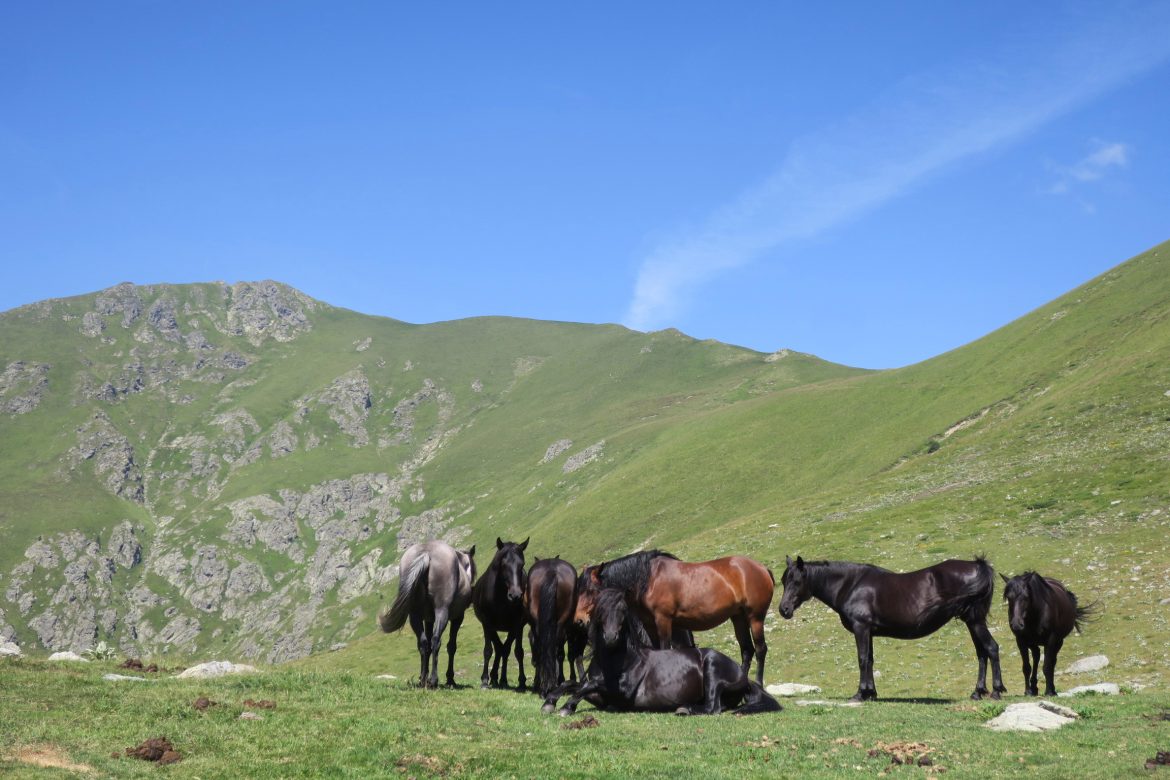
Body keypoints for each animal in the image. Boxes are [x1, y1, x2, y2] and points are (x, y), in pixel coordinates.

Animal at [378, 540, 476, 689]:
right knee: (436, 641)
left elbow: (428, 645)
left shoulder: (428, 619)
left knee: (423, 643)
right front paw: (450, 679)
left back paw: (423, 680)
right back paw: (433, 680)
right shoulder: (458, 617)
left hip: (415, 615)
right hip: (442, 612)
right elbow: (451, 646)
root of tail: (426, 553)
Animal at [471, 537, 529, 690]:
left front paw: (521, 681)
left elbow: (517, 651)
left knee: (504, 649)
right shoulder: (487, 623)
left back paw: (501, 679)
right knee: (498, 648)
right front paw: (485, 680)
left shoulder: (517, 625)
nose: (515, 595)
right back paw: (494, 678)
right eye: (503, 564)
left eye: (522, 564)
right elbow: (488, 650)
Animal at [542, 588, 782, 716]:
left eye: (623, 610)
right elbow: (574, 684)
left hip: (712, 667)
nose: (610, 637)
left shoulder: (621, 691)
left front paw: (565, 707)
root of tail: (745, 678)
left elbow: (585, 685)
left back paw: (684, 709)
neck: (620, 660)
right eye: (600, 609)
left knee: (712, 707)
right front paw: (549, 702)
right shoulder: (601, 697)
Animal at [576, 550, 774, 684]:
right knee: (747, 650)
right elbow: (655, 650)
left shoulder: (663, 620)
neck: (649, 579)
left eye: (590, 590)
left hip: (755, 618)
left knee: (760, 649)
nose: (579, 620)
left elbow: (665, 649)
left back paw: (759, 683)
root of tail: (762, 568)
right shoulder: (649, 625)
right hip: (738, 618)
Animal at [778, 555, 1006, 701]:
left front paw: (860, 694)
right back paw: (977, 692)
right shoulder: (869, 631)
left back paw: (996, 691)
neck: (851, 585)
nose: (783, 609)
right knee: (981, 653)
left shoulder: (861, 628)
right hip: (972, 621)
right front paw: (871, 693)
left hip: (975, 621)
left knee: (991, 648)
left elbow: (862, 659)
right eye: (782, 580)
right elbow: (870, 659)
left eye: (796, 581)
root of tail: (977, 565)